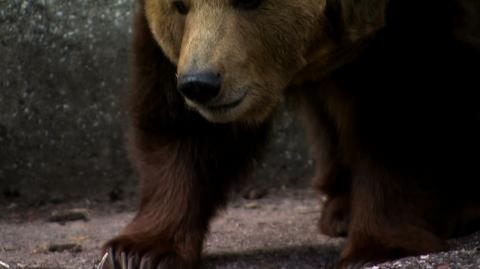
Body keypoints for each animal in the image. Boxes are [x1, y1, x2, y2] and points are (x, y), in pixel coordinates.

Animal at [99, 0, 478, 266]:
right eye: (179, 5)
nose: (201, 85)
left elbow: (400, 119)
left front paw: (380, 246)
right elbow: (180, 127)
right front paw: (136, 251)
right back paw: (341, 209)